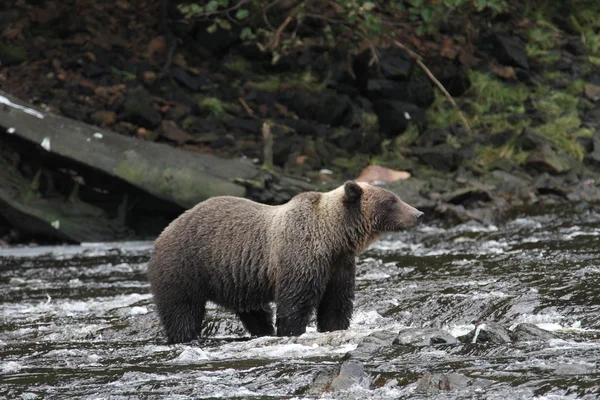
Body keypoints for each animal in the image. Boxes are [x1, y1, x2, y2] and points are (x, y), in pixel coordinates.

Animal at [148, 180, 424, 340]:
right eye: (392, 200)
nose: (419, 214)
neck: (333, 238)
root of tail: (163, 231)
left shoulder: (340, 265)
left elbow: (336, 304)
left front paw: (334, 328)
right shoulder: (301, 256)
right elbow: (296, 302)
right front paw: (292, 331)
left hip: (237, 280)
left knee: (254, 311)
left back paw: (263, 331)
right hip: (184, 265)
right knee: (182, 309)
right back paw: (186, 337)